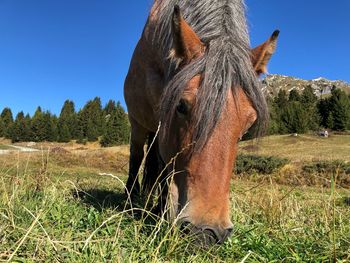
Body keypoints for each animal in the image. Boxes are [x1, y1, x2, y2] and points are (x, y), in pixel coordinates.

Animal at [123, 0, 278, 246]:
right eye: (181, 106)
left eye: (248, 123)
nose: (208, 232)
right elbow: (161, 164)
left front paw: (160, 210)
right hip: (138, 122)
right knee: (137, 156)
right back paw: (131, 199)